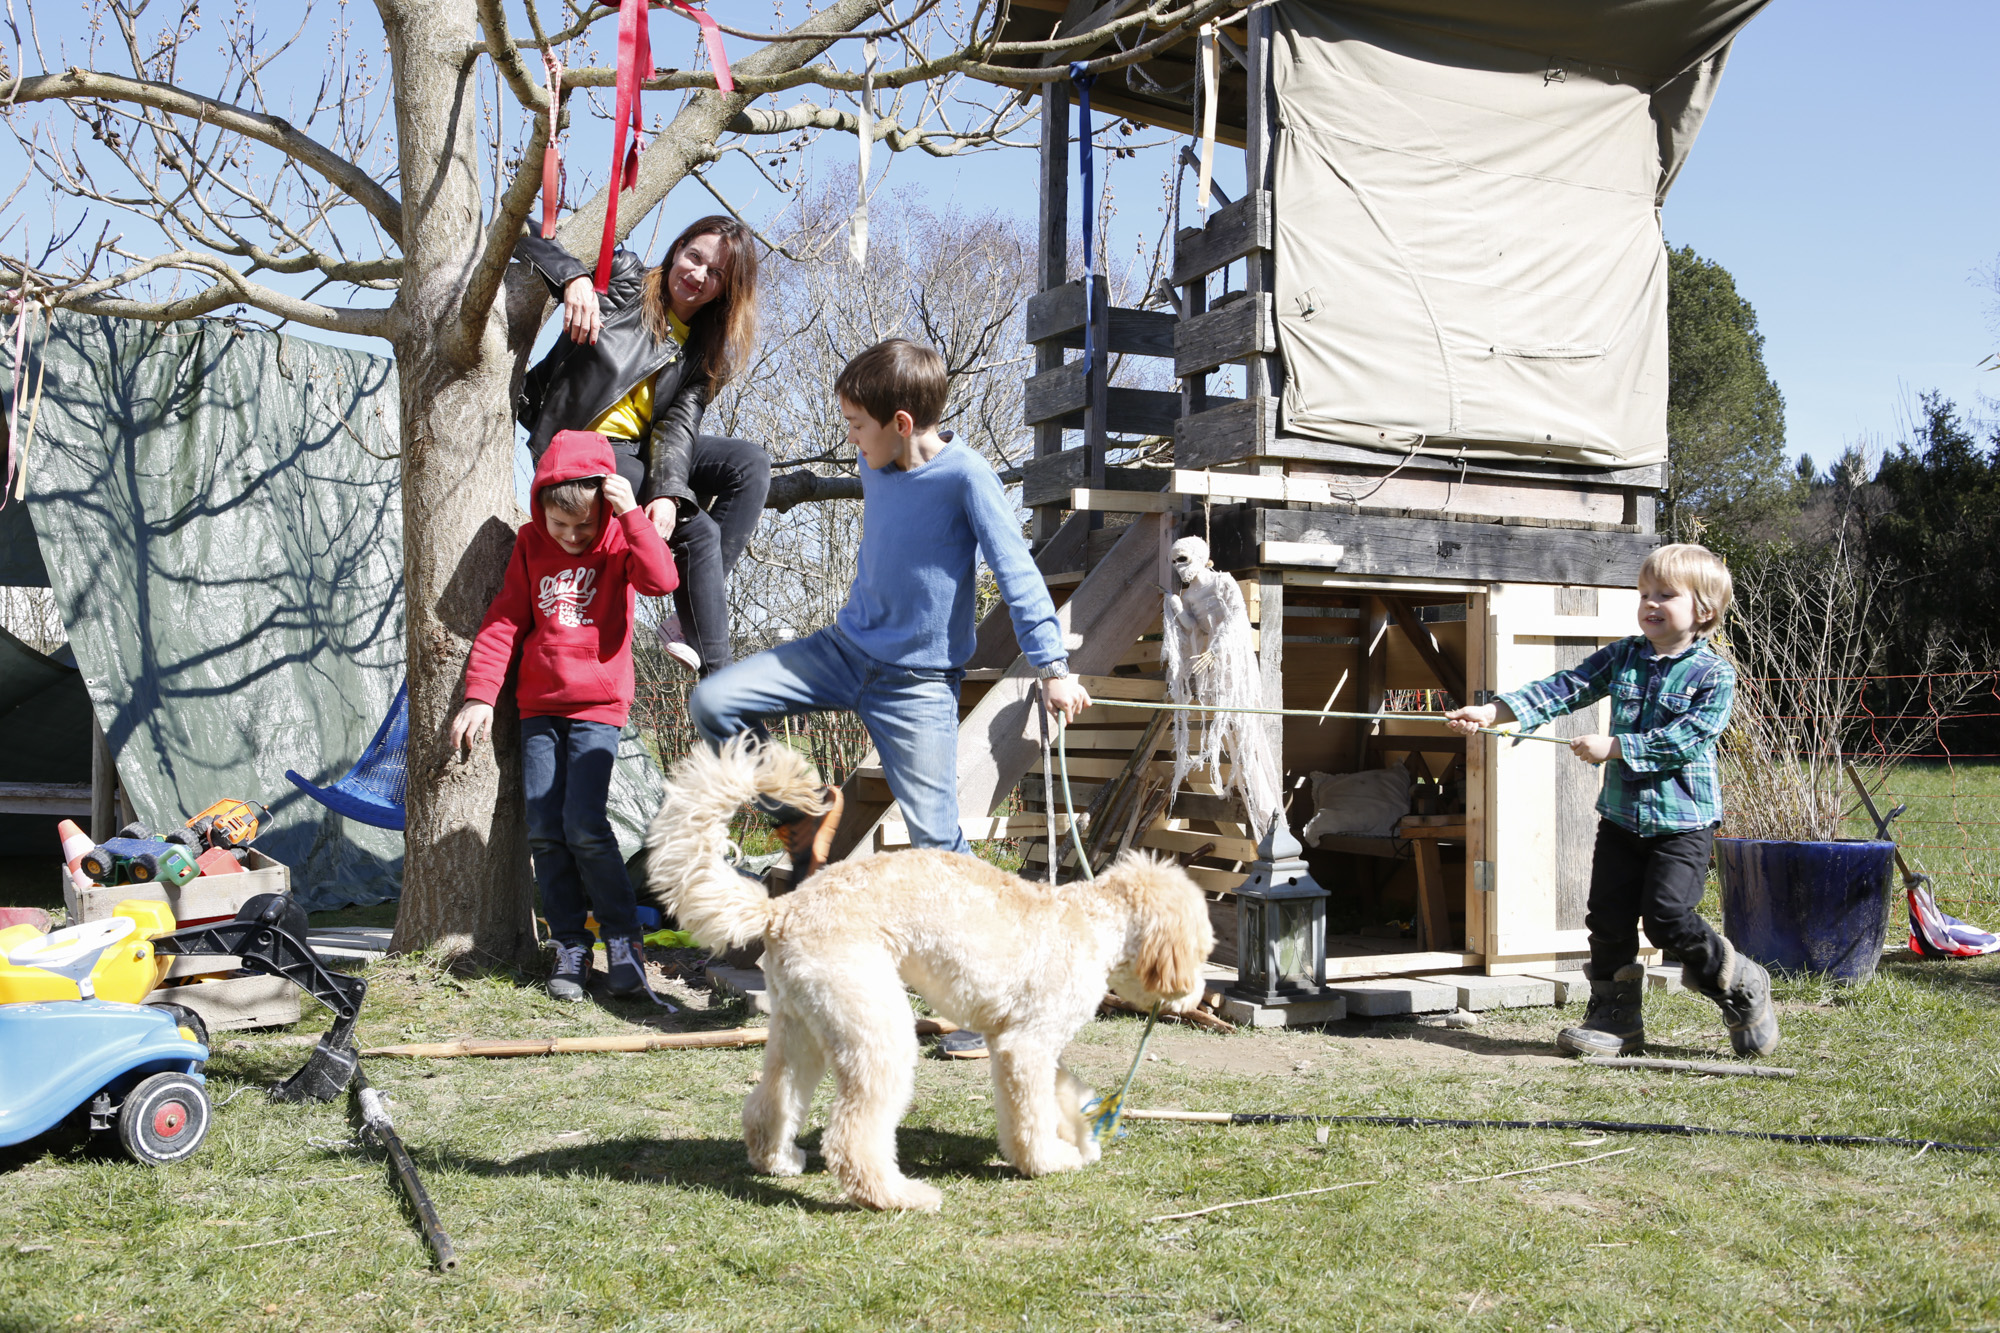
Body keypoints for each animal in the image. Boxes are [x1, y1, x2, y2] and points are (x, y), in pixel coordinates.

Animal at [652, 736, 1216, 1200]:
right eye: (1204, 949)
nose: (1195, 995)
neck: (1095, 922)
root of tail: (782, 908)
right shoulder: (1025, 1046)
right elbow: (1032, 1114)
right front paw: (1047, 1161)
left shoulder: (1027, 1045)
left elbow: (1063, 1095)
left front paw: (1081, 1135)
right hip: (877, 1028)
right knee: (850, 1136)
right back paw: (896, 1195)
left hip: (802, 1029)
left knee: (770, 1102)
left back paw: (780, 1160)